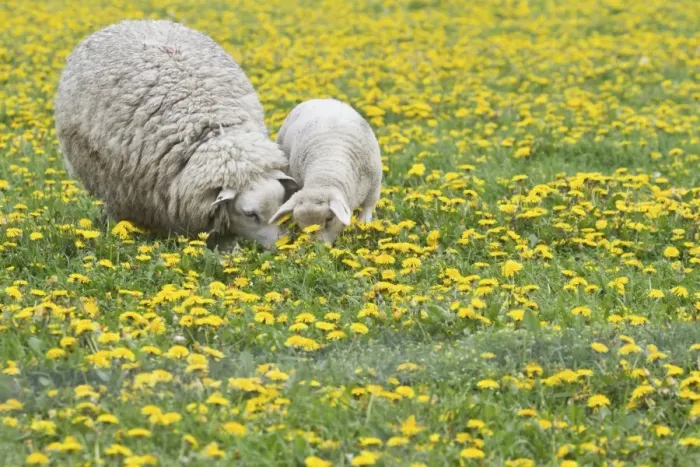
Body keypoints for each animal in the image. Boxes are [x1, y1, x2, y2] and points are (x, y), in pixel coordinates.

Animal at [269, 98, 383, 244]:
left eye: (329, 219)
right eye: (301, 223)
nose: (319, 247)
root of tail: (319, 99)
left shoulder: (374, 185)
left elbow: (368, 207)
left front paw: (365, 225)